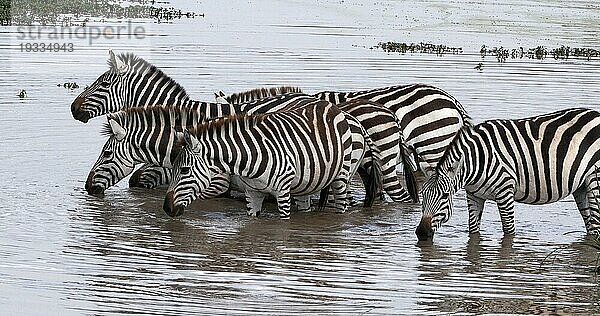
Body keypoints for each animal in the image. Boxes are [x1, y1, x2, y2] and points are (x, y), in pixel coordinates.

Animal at [163, 102, 356, 220]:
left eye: (185, 170)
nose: (166, 208)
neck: (249, 159)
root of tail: (329, 105)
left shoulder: (283, 193)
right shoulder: (252, 193)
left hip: (341, 175)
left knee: (342, 205)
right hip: (307, 183)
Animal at [414, 107, 600, 241]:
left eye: (445, 196)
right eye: (423, 195)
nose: (421, 232)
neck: (477, 161)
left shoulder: (505, 192)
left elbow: (509, 231)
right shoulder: (474, 195)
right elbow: (473, 230)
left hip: (595, 182)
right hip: (581, 186)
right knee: (591, 226)